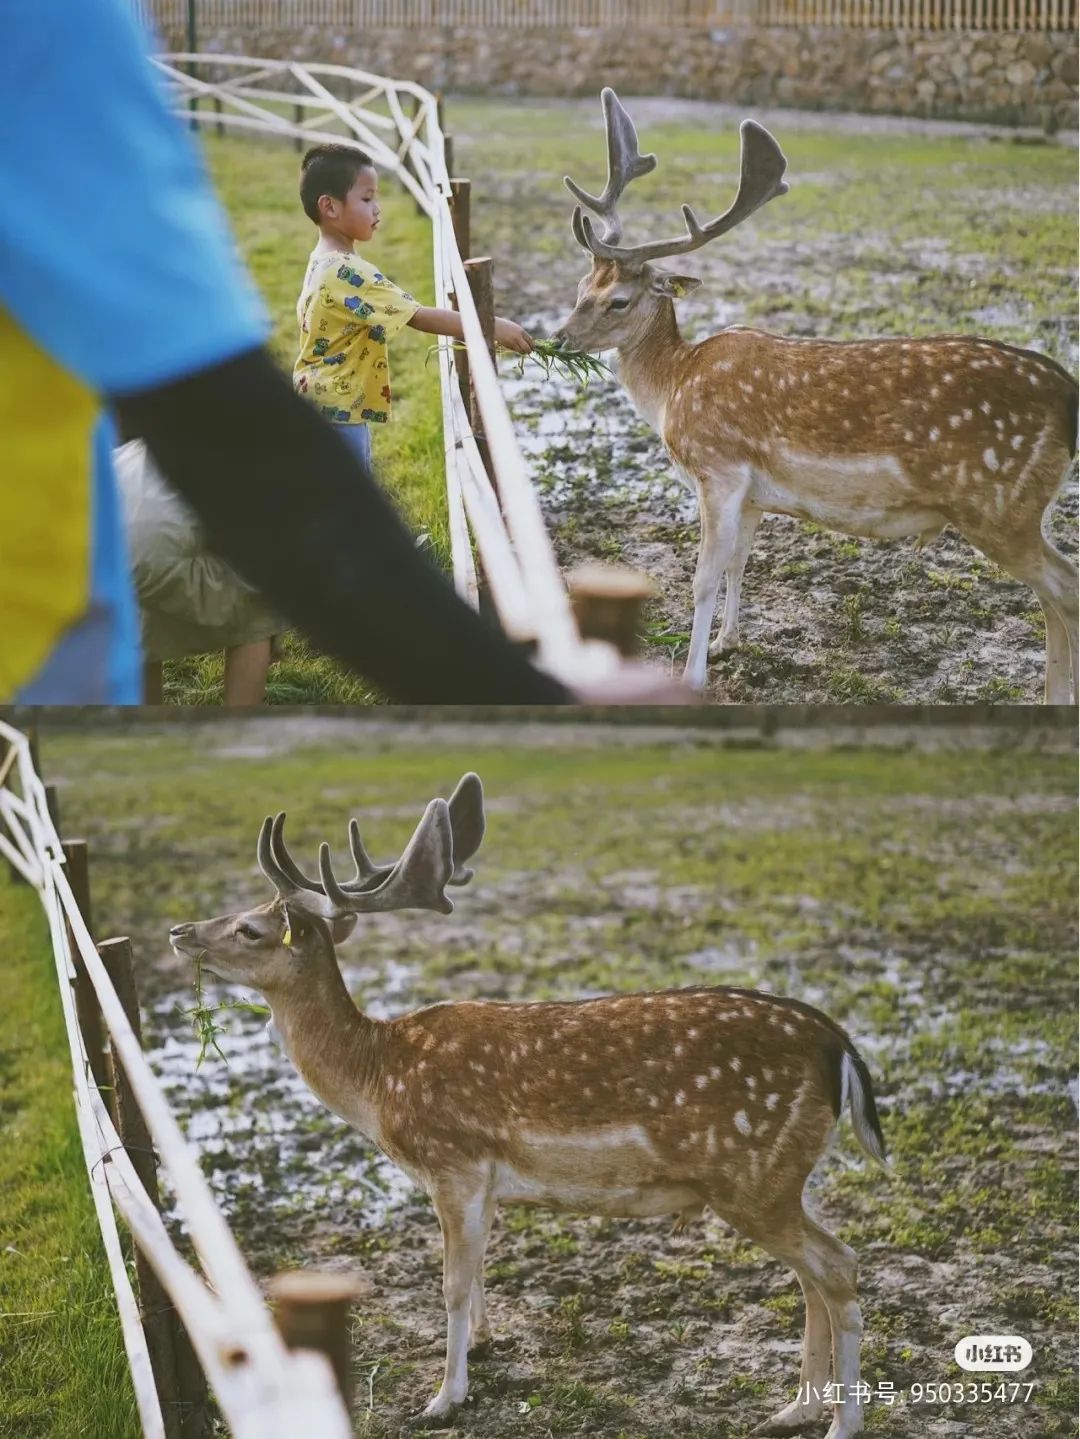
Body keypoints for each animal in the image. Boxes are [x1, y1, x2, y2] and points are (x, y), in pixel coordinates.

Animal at [171, 777, 885, 1439]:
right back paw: (794, 1408)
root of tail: (839, 1045)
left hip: (750, 1176)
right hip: (784, 1175)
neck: (381, 1080)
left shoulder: (453, 1162)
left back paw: (840, 1422)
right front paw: (483, 1346)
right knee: (812, 1275)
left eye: (250, 929)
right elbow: (478, 1270)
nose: (179, 930)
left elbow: (451, 1283)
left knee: (838, 1266)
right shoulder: (483, 1181)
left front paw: (443, 1398)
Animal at [557, 84, 1080, 702]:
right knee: (1054, 593)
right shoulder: (752, 493)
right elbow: (740, 562)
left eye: (618, 301)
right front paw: (728, 642)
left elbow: (703, 576)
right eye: (581, 286)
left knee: (1065, 587)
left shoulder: (718, 467)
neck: (674, 387)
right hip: (1025, 509)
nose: (559, 338)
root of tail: (1068, 394)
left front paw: (692, 676)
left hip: (999, 507)